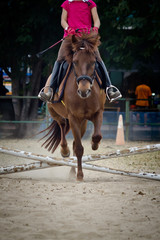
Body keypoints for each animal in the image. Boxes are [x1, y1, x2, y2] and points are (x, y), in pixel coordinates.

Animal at [41, 32, 106, 181]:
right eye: (75, 62)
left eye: (93, 62)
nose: (83, 90)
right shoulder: (73, 118)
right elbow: (79, 149)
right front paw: (80, 175)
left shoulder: (98, 113)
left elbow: (96, 135)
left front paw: (94, 144)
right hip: (55, 112)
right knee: (62, 125)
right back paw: (64, 150)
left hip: (82, 123)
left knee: (75, 142)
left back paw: (72, 170)